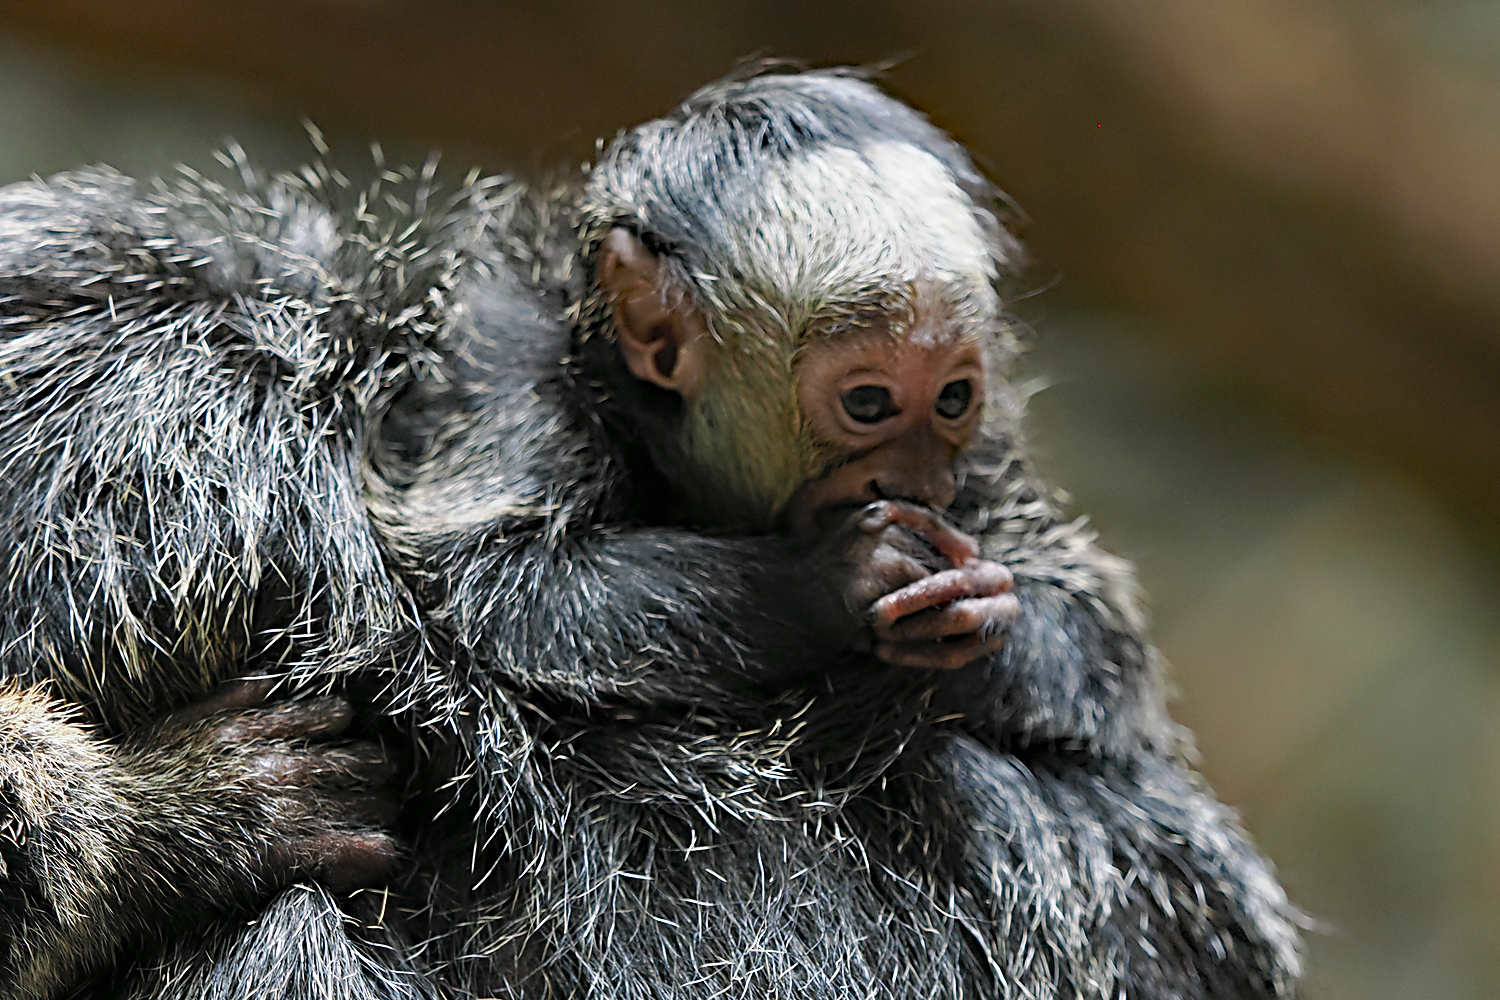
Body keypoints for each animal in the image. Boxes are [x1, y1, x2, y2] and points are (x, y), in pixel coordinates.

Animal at [0, 66, 1302, 995]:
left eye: (951, 400)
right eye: (865, 403)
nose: (915, 475)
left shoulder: (993, 458)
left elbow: (1103, 645)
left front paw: (984, 623)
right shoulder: (510, 357)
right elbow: (505, 589)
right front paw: (845, 581)